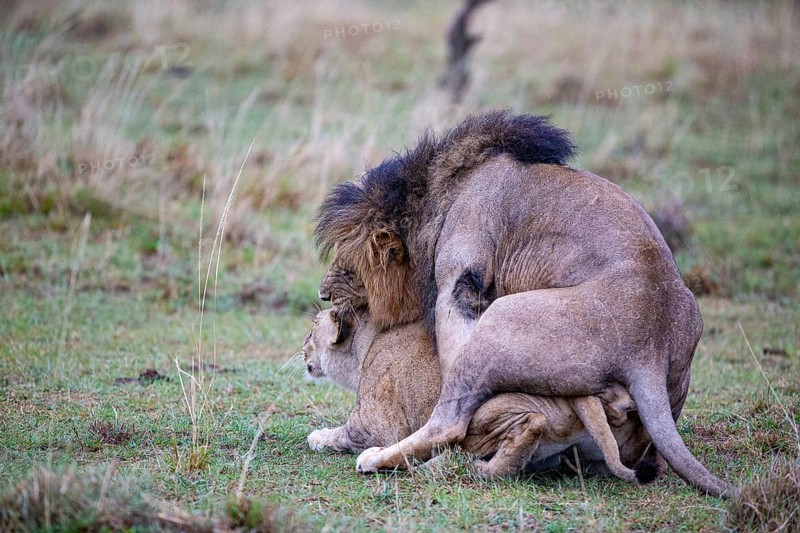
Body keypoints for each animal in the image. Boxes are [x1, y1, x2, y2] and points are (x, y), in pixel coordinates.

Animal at [303, 307, 658, 483]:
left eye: (311, 329)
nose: (302, 347)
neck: (370, 341)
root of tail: (592, 394)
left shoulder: (373, 423)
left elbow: (341, 434)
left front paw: (318, 437)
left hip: (488, 408)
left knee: (519, 428)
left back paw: (383, 461)